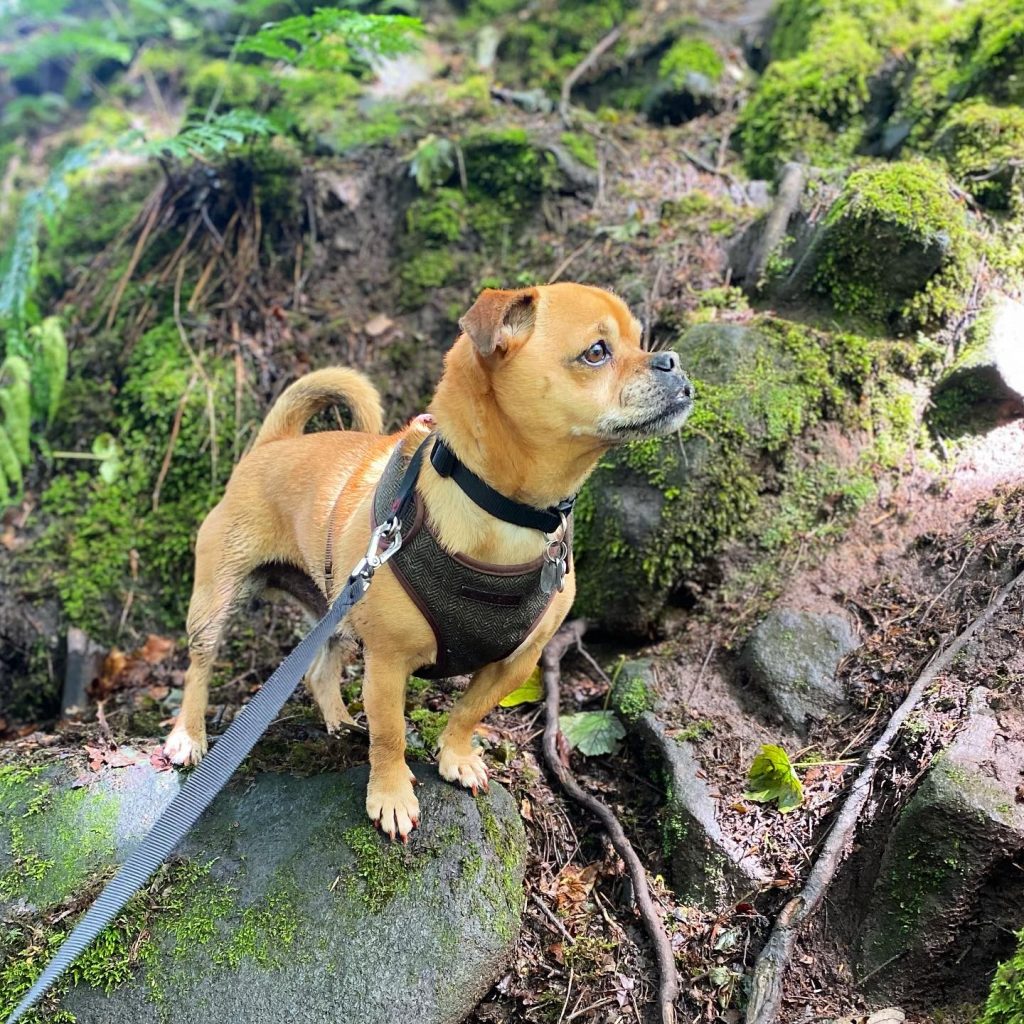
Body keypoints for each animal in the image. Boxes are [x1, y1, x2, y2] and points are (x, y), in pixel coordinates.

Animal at [165, 282, 696, 839]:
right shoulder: (387, 664)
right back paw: (188, 736)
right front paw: (392, 796)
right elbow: (391, 735)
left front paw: (456, 758)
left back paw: (338, 720)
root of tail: (275, 442)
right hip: (218, 600)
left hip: (337, 607)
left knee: (319, 667)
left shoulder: (517, 663)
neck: (503, 512)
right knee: (199, 667)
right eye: (597, 352)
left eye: (642, 340)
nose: (672, 359)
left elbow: (468, 712)